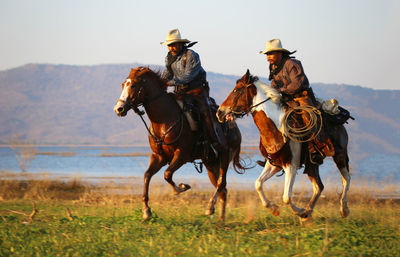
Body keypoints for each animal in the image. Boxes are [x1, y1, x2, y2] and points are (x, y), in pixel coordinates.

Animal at [112, 66, 244, 220]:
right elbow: (147, 175)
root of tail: (236, 129)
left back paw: (210, 207)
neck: (165, 119)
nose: (118, 109)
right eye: (123, 84)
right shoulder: (159, 156)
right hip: (210, 164)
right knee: (223, 189)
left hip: (224, 158)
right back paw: (220, 218)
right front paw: (146, 210)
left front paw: (181, 188)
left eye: (133, 85)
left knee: (221, 183)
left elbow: (167, 174)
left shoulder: (182, 154)